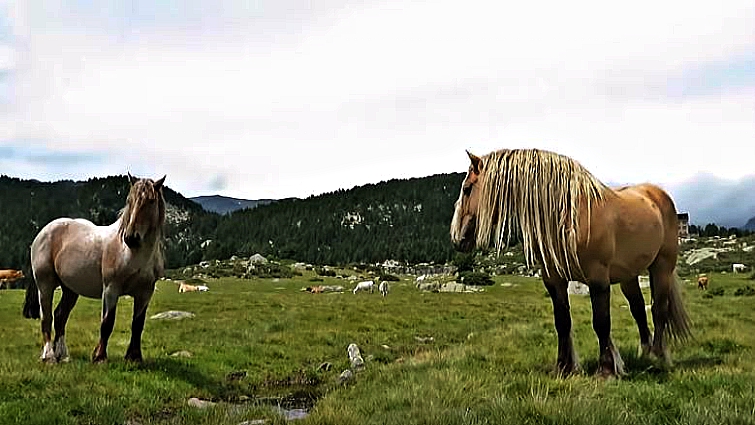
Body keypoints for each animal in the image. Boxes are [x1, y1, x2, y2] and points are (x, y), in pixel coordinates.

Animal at [24, 174, 166, 364]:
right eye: (129, 200)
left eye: (150, 201)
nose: (130, 238)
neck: (131, 253)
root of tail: (42, 233)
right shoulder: (111, 289)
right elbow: (107, 323)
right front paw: (99, 357)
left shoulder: (145, 293)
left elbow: (137, 324)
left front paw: (134, 357)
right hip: (45, 285)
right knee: (46, 317)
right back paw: (49, 356)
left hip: (70, 289)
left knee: (60, 316)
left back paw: (64, 355)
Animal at [450, 148, 691, 378]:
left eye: (467, 189)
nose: (456, 238)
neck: (568, 217)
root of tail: (657, 194)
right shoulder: (554, 280)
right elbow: (562, 322)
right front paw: (564, 368)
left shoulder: (598, 278)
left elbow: (601, 322)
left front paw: (606, 370)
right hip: (629, 276)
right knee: (639, 310)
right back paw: (646, 354)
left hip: (662, 267)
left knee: (659, 310)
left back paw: (659, 357)